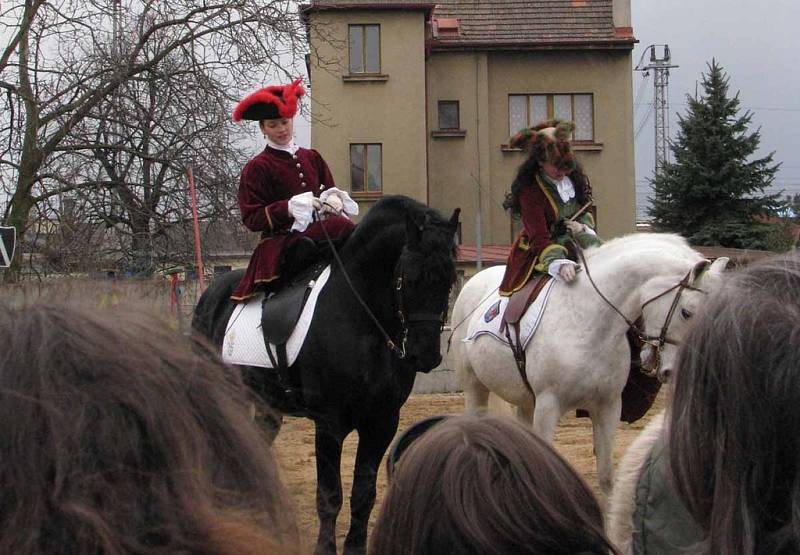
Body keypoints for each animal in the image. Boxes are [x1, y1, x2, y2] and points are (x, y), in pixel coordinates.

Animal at [191, 197, 460, 555]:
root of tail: (210, 295)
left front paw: (356, 547)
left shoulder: (382, 422)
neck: (362, 319)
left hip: (266, 405)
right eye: (412, 277)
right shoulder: (330, 423)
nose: (425, 355)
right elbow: (329, 496)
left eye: (449, 279)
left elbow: (363, 494)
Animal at [454, 232, 728, 498]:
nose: (679, 368)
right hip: (475, 385)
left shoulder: (608, 407)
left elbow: (606, 477)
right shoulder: (548, 405)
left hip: (525, 400)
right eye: (687, 312)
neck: (589, 323)